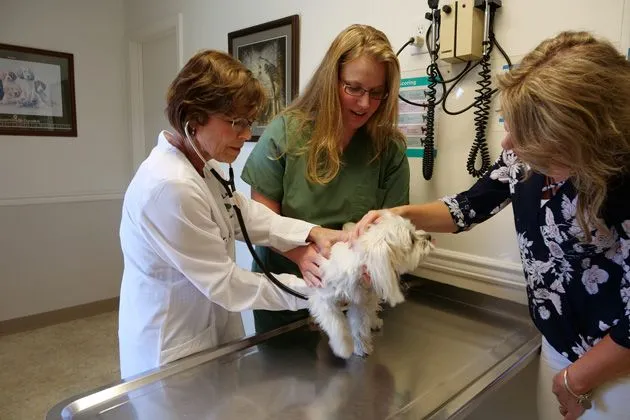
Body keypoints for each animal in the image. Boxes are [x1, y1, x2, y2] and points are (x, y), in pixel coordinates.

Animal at [310, 212, 434, 360]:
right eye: (411, 239)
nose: (429, 236)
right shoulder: (324, 300)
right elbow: (337, 326)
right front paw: (344, 348)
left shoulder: (360, 303)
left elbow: (359, 327)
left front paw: (361, 347)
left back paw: (374, 322)